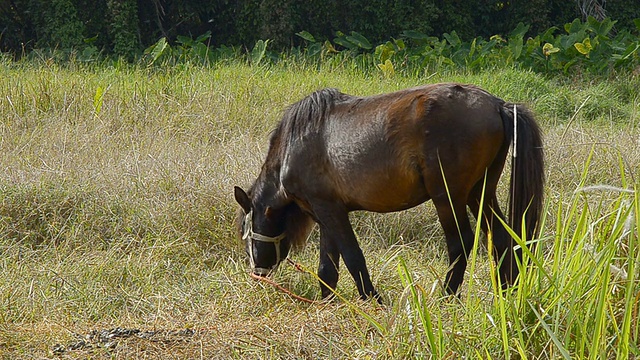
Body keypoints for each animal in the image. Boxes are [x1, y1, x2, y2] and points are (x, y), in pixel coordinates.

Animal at [232, 83, 544, 300]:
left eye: (245, 232)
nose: (257, 275)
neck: (294, 145)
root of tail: (498, 104)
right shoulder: (326, 213)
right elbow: (327, 269)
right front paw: (327, 304)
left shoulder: (330, 211)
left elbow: (353, 257)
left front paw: (373, 300)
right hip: (479, 193)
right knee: (502, 238)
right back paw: (507, 293)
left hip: (448, 197)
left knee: (461, 243)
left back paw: (447, 297)